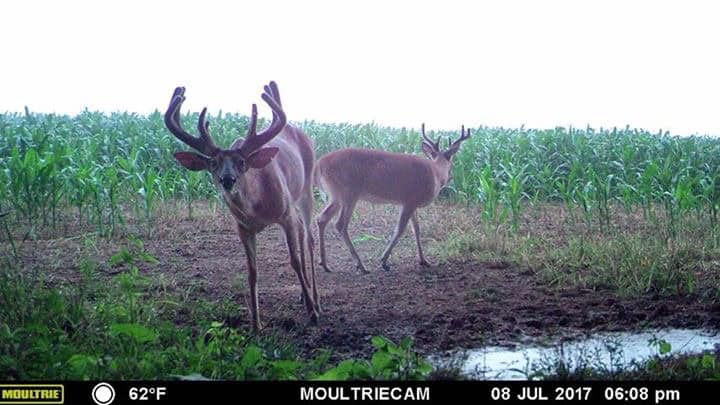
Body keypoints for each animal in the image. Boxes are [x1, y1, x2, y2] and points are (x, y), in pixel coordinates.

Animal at [164, 82, 319, 331]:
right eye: (213, 163)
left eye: (242, 162)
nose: (227, 180)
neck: (257, 207)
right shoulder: (243, 227)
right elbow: (252, 272)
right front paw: (256, 324)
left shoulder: (285, 214)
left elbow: (294, 260)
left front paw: (313, 314)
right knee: (302, 238)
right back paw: (304, 297)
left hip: (305, 190)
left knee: (309, 239)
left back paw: (315, 299)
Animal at [315, 124, 471, 273]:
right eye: (450, 158)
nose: (450, 177)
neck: (436, 173)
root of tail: (319, 165)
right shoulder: (409, 201)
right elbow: (400, 229)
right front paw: (384, 261)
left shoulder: (412, 202)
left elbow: (416, 229)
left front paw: (424, 260)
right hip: (349, 192)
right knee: (340, 224)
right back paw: (361, 266)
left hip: (336, 195)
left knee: (321, 218)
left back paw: (325, 264)